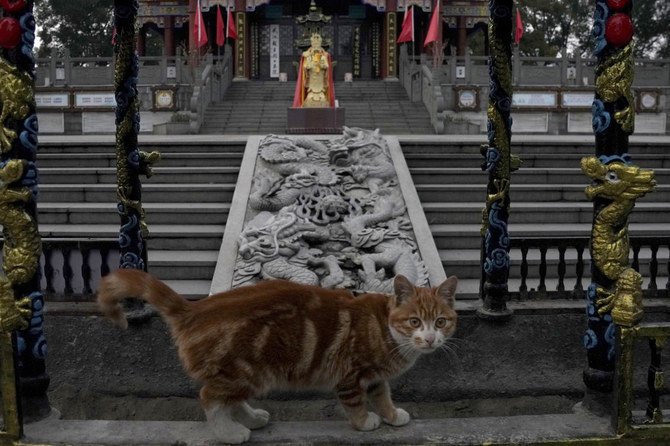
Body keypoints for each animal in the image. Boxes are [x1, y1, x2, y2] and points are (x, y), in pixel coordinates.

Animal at [97, 268, 460, 442]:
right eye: (415, 321)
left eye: (441, 321)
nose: (430, 338)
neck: (385, 328)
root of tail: (194, 309)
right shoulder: (351, 374)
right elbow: (356, 403)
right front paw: (364, 422)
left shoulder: (373, 376)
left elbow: (383, 396)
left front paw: (392, 415)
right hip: (245, 370)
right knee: (209, 397)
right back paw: (229, 433)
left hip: (246, 375)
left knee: (230, 399)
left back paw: (250, 418)